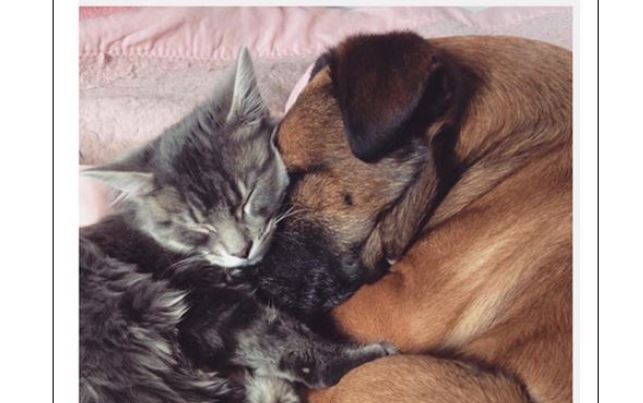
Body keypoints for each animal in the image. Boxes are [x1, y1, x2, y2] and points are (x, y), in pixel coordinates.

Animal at [78, 48, 394, 403]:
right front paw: (359, 356)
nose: (241, 251)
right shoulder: (213, 307)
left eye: (246, 199)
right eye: (199, 227)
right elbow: (287, 343)